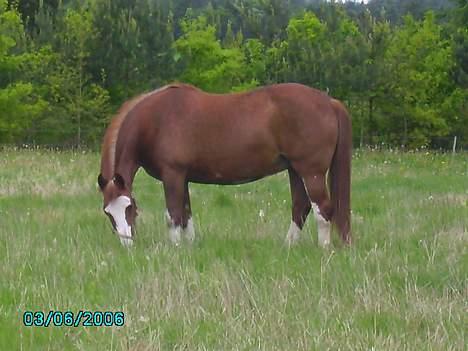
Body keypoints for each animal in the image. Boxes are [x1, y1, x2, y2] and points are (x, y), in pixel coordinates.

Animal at [97, 83, 352, 248]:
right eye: (108, 213)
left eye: (130, 207)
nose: (127, 244)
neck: (154, 121)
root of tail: (329, 102)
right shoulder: (183, 177)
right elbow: (186, 213)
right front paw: (190, 246)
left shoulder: (173, 175)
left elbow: (173, 215)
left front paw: (175, 249)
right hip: (295, 170)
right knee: (301, 207)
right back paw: (288, 246)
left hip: (311, 171)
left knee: (323, 209)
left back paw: (324, 249)